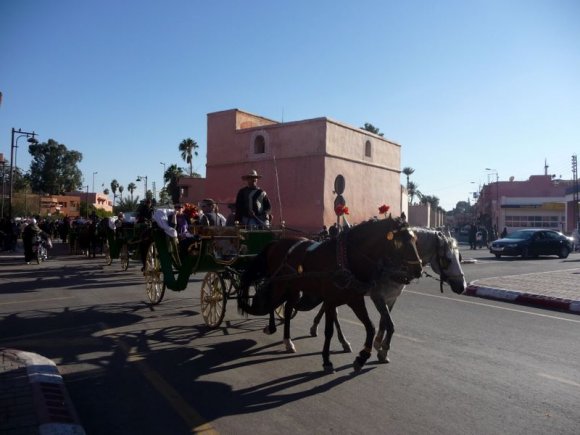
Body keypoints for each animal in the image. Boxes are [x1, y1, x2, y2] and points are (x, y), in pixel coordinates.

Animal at [238, 216, 424, 372]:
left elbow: (370, 326)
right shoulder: (330, 299)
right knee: (271, 300)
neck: (345, 259)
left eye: (415, 239)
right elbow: (329, 330)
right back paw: (272, 328)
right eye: (399, 242)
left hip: (294, 287)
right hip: (279, 282)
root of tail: (276, 242)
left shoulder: (355, 299)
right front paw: (327, 360)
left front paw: (362, 356)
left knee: (288, 307)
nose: (419, 270)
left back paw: (287, 341)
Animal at [308, 228, 466, 364]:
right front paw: (383, 350)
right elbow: (390, 324)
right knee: (332, 311)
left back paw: (318, 328)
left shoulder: (391, 298)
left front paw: (379, 344)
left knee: (328, 307)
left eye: (459, 257)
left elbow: (384, 321)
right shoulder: (377, 296)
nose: (463, 286)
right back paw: (341, 340)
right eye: (447, 260)